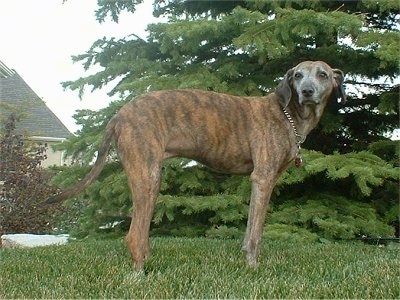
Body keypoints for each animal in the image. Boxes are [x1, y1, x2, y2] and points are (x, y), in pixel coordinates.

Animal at [46, 60, 344, 270]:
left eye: (322, 74)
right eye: (297, 75)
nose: (306, 92)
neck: (287, 113)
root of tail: (119, 115)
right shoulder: (263, 179)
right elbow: (255, 233)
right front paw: (253, 268)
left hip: (150, 179)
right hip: (147, 176)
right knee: (133, 236)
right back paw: (139, 276)